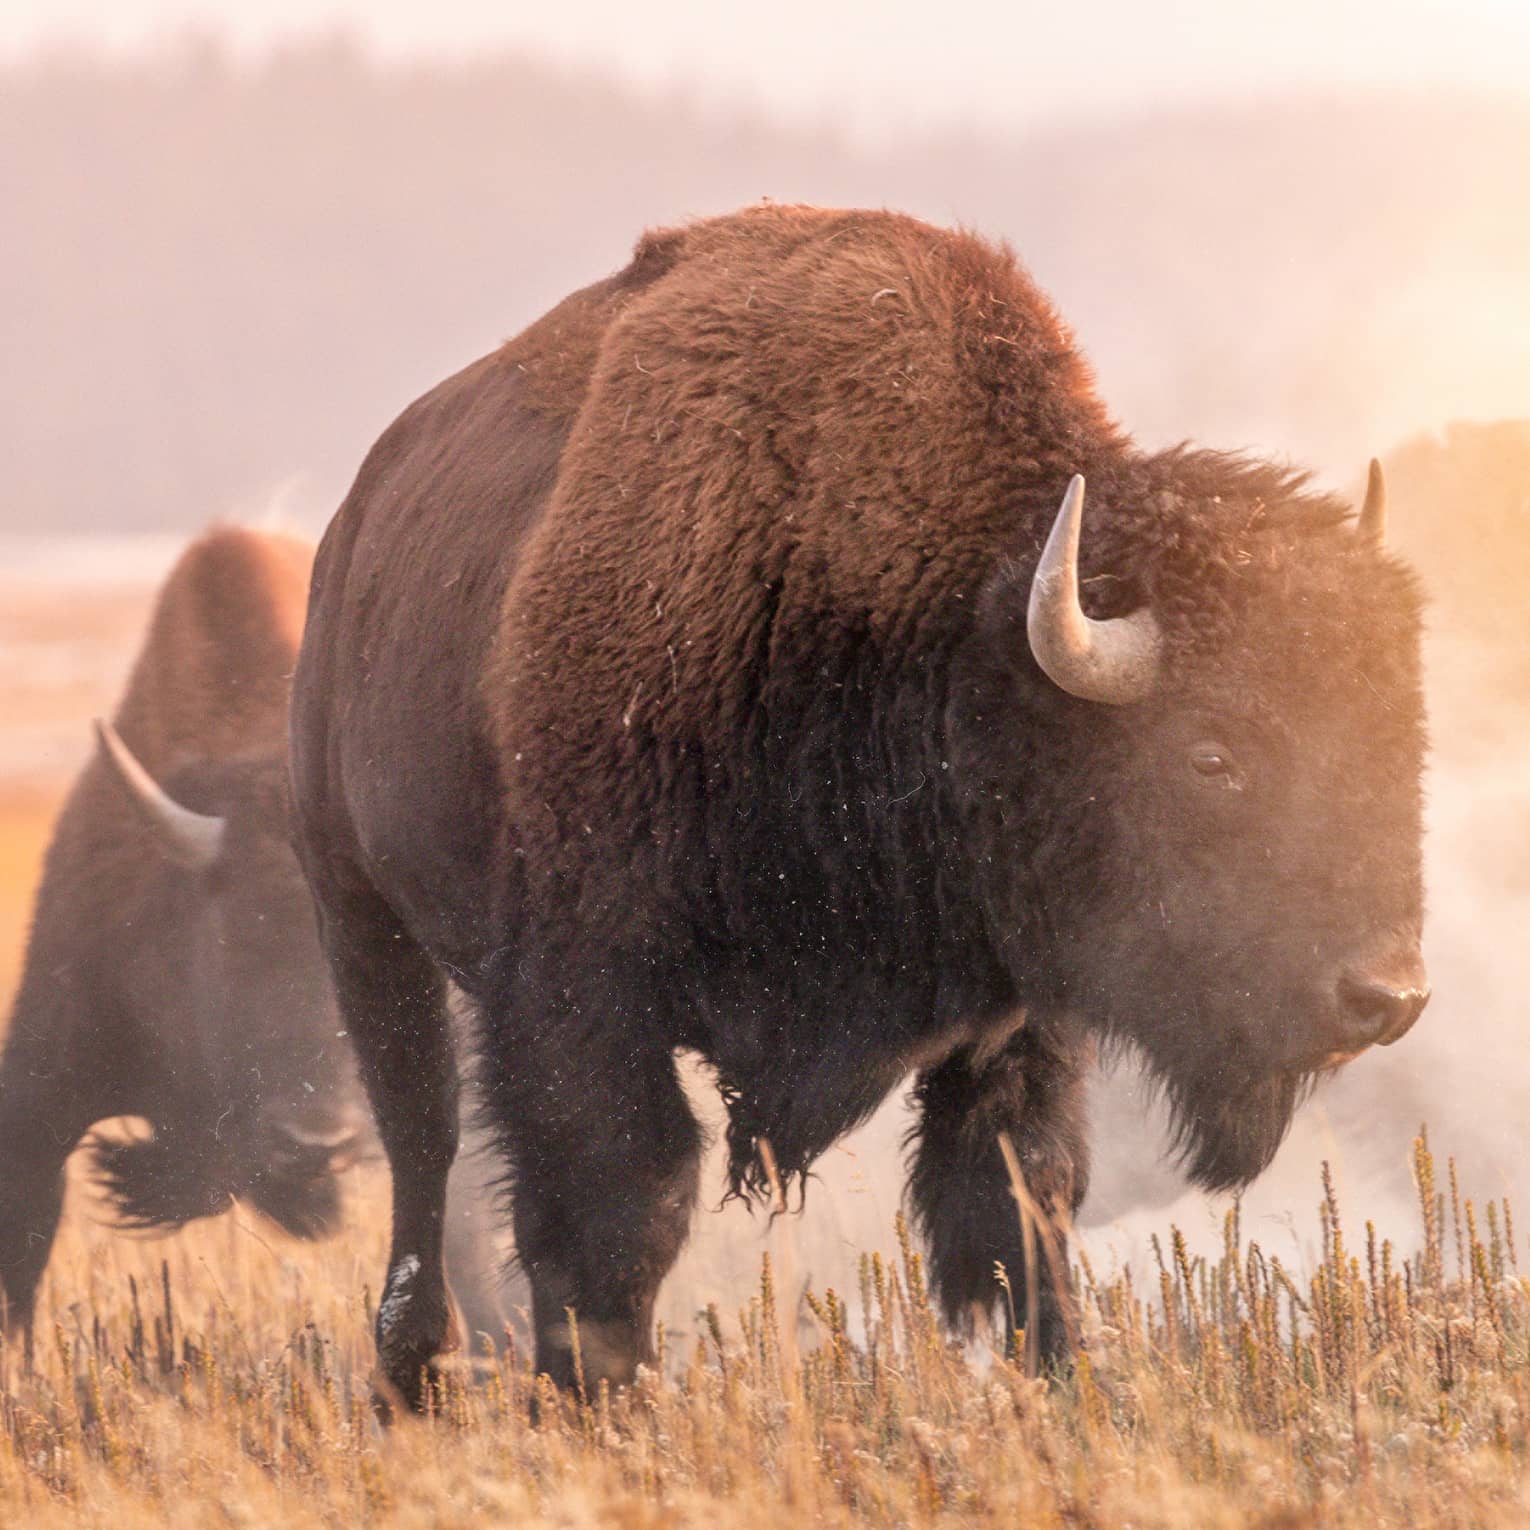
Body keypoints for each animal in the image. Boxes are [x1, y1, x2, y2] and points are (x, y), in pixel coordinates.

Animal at [289, 205, 1429, 1405]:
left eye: (1401, 732)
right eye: (1212, 755)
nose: (1387, 995)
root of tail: (353, 526)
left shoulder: (1016, 1021)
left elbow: (1022, 1204)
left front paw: (1067, 1392)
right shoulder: (582, 998)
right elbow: (618, 1216)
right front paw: (605, 1407)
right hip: (359, 913)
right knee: (421, 1137)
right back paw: (412, 1370)